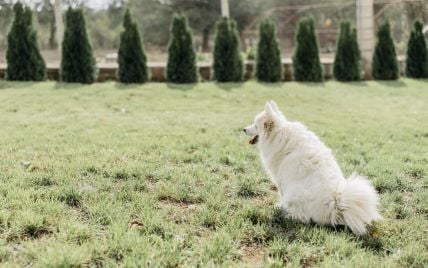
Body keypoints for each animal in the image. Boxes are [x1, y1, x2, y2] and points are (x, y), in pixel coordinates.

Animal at [244, 100, 382, 234]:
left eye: (255, 125)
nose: (243, 129)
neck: (278, 135)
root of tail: (335, 205)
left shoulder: (280, 180)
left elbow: (281, 194)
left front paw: (279, 206)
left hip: (295, 194)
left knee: (303, 217)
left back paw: (287, 214)